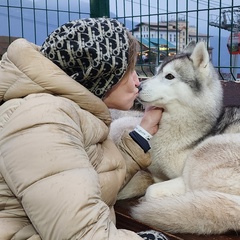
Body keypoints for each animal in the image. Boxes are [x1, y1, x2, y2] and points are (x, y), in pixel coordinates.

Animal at [111, 41, 240, 234]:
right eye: (156, 72)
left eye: (169, 76)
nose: (138, 86)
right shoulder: (155, 173)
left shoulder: (180, 177)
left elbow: (151, 190)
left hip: (203, 154)